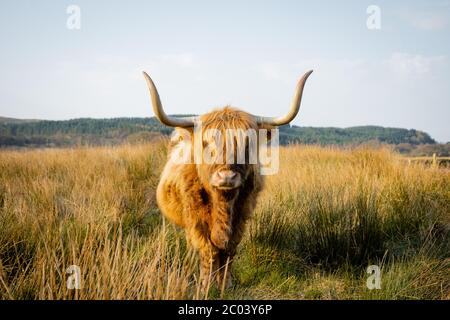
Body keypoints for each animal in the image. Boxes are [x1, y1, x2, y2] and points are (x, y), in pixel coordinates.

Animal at [142, 70, 312, 290]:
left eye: (247, 144)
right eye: (207, 143)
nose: (227, 177)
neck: (223, 202)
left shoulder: (242, 215)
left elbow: (229, 249)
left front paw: (226, 284)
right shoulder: (197, 220)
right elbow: (209, 250)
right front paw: (206, 284)